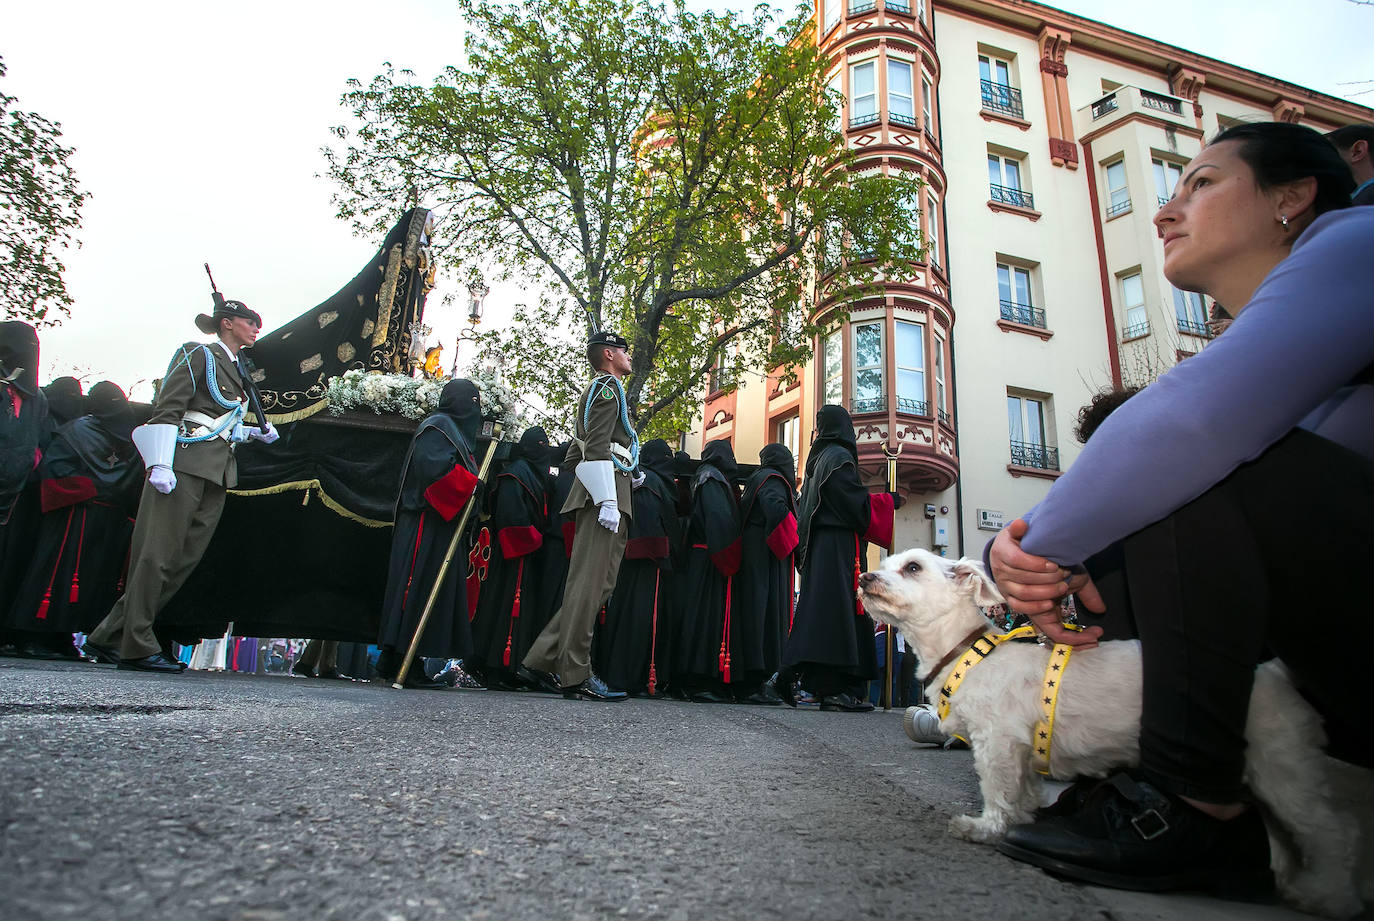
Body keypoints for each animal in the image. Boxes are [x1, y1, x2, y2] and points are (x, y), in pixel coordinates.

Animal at [857, 552, 1363, 918]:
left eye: (913, 567)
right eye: (887, 563)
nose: (864, 577)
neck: (970, 651)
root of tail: (1275, 673)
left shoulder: (997, 741)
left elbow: (998, 791)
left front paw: (986, 828)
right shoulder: (1021, 749)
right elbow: (1024, 790)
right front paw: (1027, 817)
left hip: (1281, 765)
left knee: (1329, 832)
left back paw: (1328, 895)